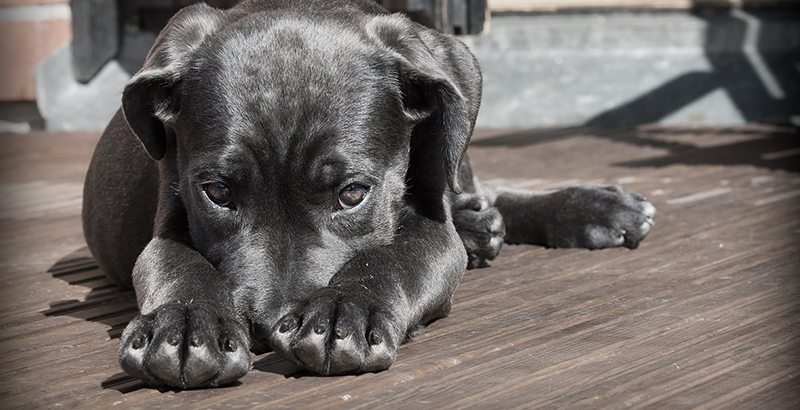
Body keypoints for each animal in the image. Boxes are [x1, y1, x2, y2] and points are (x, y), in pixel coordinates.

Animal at [83, 0, 656, 388]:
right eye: (218, 192)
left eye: (353, 193)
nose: (266, 326)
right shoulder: (170, 213)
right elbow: (176, 262)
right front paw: (185, 324)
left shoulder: (431, 224)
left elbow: (395, 256)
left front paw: (345, 309)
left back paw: (592, 207)